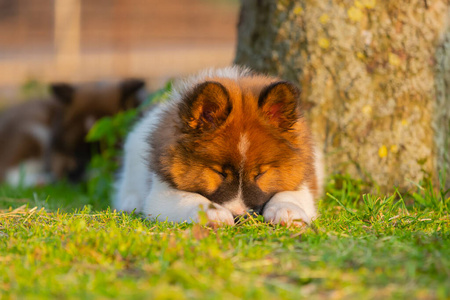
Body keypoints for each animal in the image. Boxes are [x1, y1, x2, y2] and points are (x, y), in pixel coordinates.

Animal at [0, 78, 144, 185]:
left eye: (100, 150)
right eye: (75, 151)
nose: (73, 177)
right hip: (36, 131)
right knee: (12, 174)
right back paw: (42, 181)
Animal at [112, 67, 324, 227]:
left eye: (260, 174)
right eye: (219, 173)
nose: (240, 217)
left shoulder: (303, 179)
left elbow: (290, 194)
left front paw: (288, 211)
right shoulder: (161, 192)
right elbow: (189, 198)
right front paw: (212, 213)